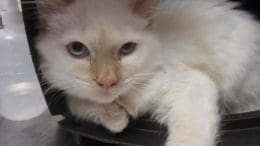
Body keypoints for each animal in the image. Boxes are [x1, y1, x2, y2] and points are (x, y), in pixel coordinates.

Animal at [36, 0, 260, 146]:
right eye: (77, 49)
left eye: (127, 49)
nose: (108, 81)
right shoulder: (70, 92)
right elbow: (78, 103)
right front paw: (116, 120)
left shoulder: (191, 86)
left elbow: (188, 139)